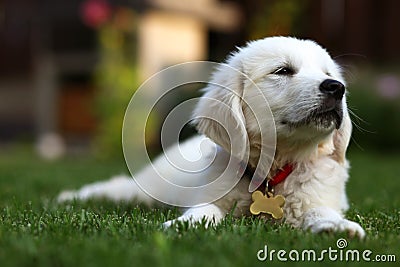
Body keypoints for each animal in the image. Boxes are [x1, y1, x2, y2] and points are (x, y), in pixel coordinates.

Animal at [59, 37, 366, 239]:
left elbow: (319, 210)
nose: (336, 87)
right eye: (282, 70)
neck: (270, 172)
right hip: (150, 187)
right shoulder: (210, 195)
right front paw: (184, 225)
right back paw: (70, 196)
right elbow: (205, 210)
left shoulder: (316, 196)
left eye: (328, 74)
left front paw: (337, 227)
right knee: (119, 187)